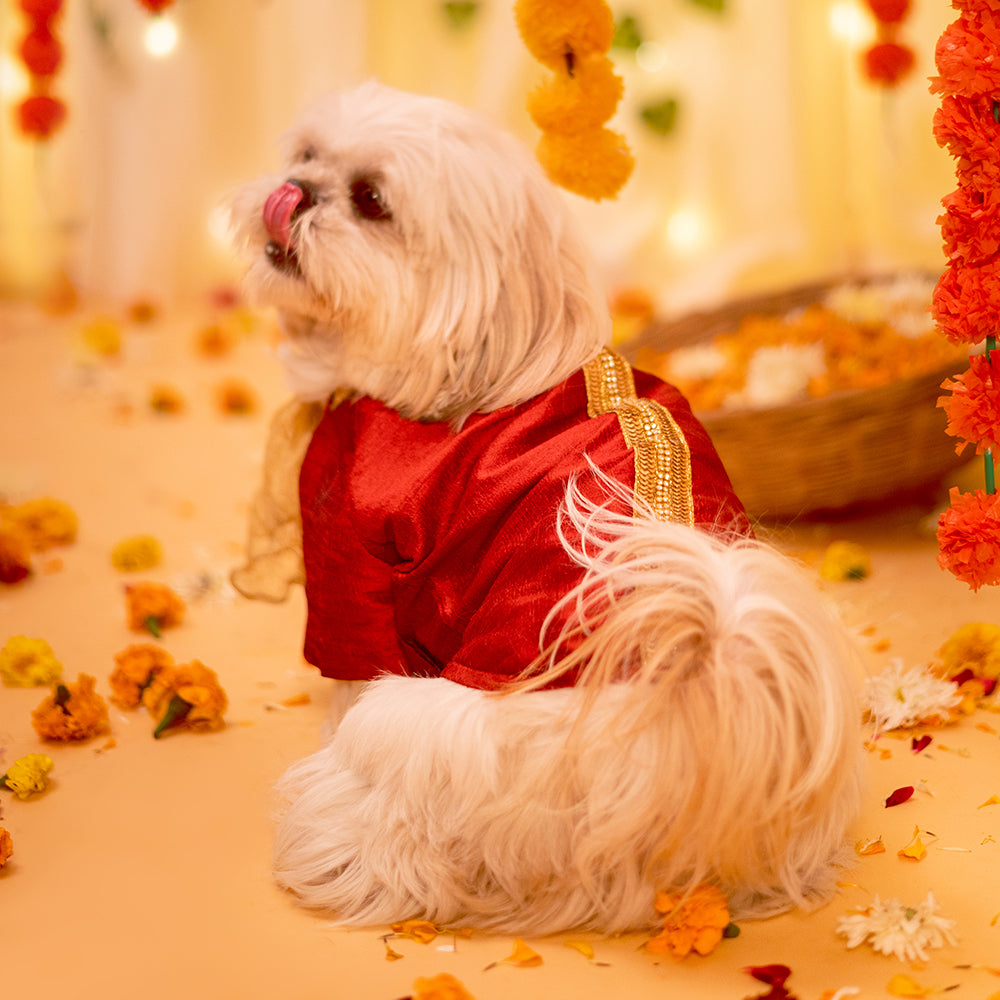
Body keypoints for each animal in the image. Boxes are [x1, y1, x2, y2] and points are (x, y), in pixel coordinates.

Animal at [230, 82, 864, 932]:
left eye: (371, 201)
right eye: (305, 154)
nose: (295, 192)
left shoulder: (349, 556)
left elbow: (349, 663)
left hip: (425, 736)